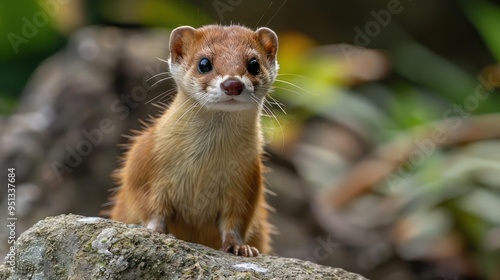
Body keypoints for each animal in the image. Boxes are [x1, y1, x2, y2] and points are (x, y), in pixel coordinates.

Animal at [108, 25, 278, 258]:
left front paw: (240, 247)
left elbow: (236, 222)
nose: (232, 84)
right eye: (204, 63)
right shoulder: (143, 161)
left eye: (254, 64)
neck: (203, 167)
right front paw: (156, 231)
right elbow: (149, 206)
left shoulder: (248, 182)